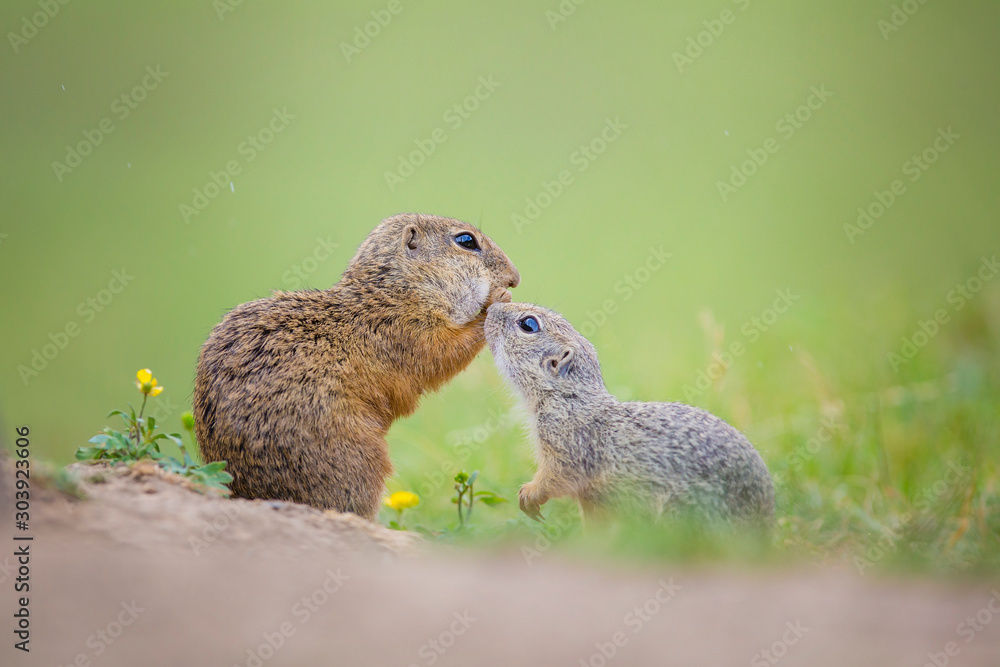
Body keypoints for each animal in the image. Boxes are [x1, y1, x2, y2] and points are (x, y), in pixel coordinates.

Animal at [193, 214, 520, 520]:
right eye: (466, 241)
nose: (515, 278)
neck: (396, 291)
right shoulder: (407, 332)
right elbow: (445, 353)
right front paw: (498, 299)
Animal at [484, 302, 775, 526]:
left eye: (528, 324)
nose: (491, 307)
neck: (568, 397)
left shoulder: (566, 441)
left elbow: (559, 476)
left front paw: (528, 494)